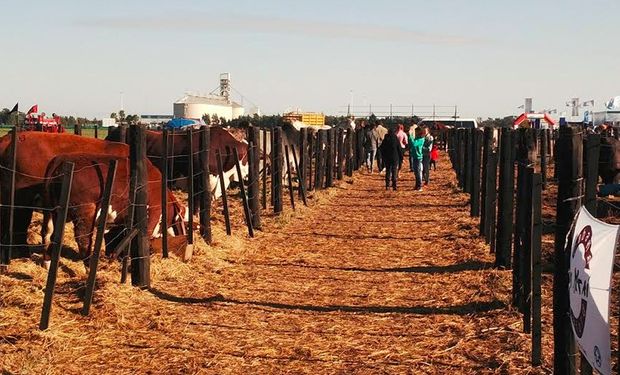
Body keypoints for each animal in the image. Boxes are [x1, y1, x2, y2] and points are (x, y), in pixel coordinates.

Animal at [41, 154, 188, 268]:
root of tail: (60, 160)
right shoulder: (152, 214)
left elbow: (112, 239)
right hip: (85, 212)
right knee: (83, 240)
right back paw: (89, 266)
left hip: (55, 212)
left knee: (52, 235)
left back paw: (47, 262)